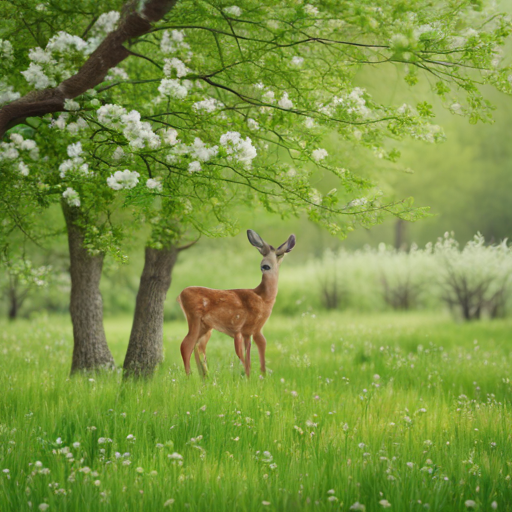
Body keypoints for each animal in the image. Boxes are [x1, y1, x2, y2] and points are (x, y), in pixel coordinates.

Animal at [178, 230, 296, 378]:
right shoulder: (243, 328)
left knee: (197, 346)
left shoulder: (253, 329)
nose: (264, 266)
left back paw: (204, 377)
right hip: (194, 317)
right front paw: (250, 377)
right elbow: (245, 354)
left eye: (277, 255)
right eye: (263, 260)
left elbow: (257, 347)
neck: (263, 297)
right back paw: (189, 378)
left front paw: (257, 377)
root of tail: (180, 295)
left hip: (205, 327)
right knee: (186, 344)